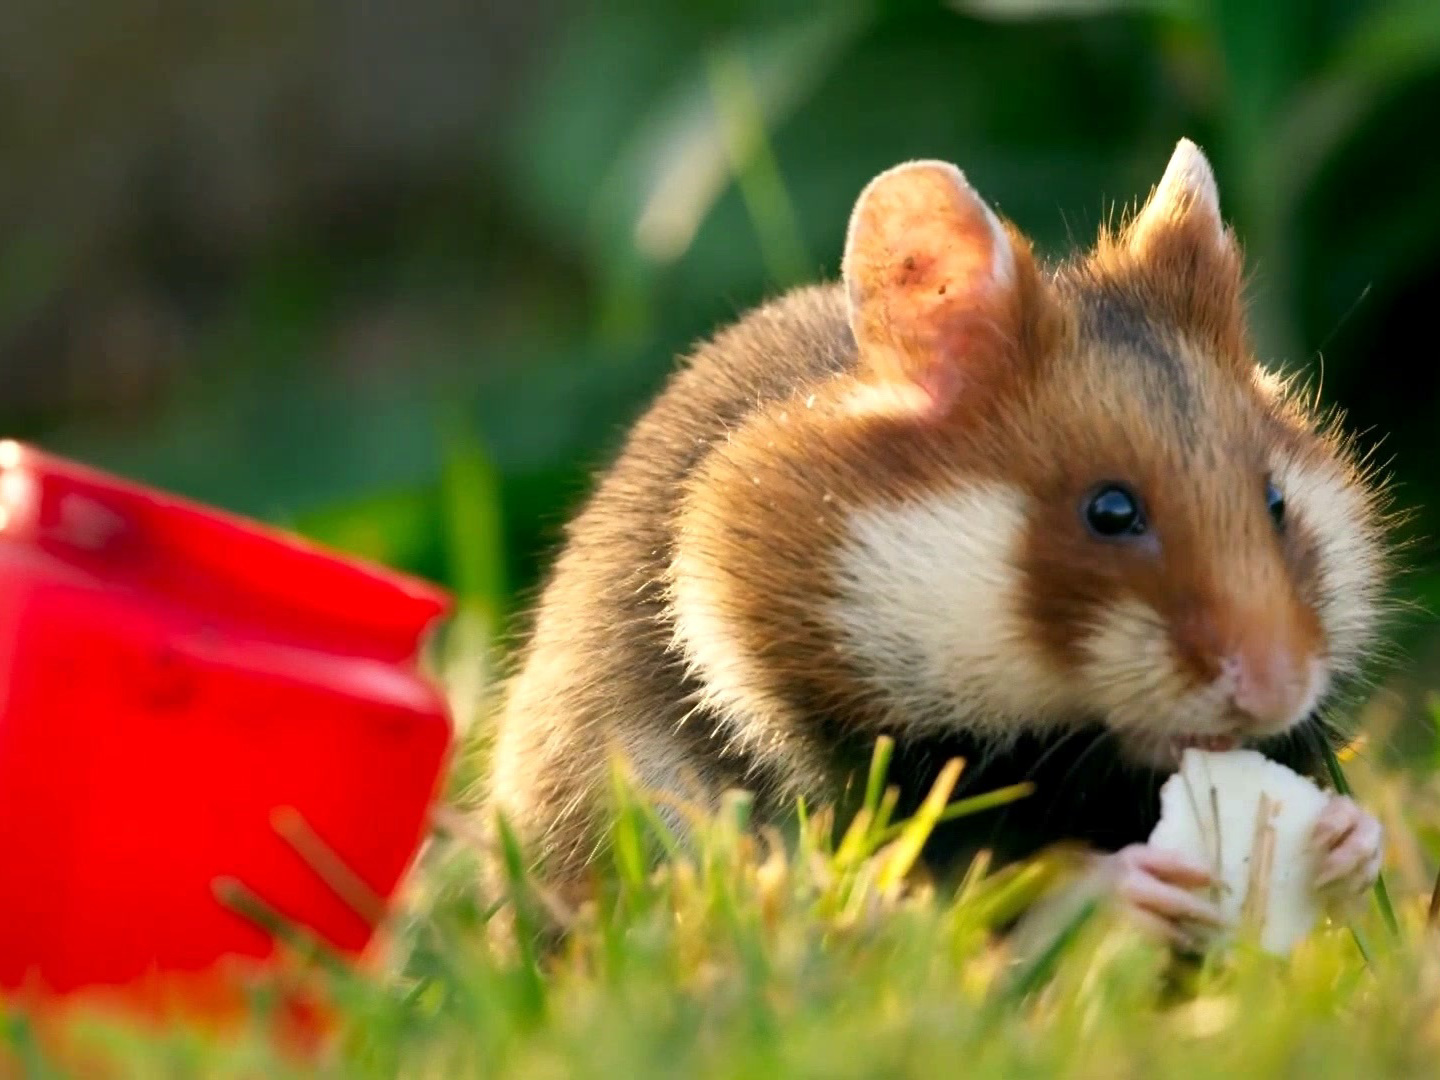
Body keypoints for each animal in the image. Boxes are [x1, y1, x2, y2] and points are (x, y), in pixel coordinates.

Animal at [482, 139, 1392, 945]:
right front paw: (1128, 884)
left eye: (1275, 501)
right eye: (1109, 512)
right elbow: (967, 860)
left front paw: (1351, 839)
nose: (1277, 693)